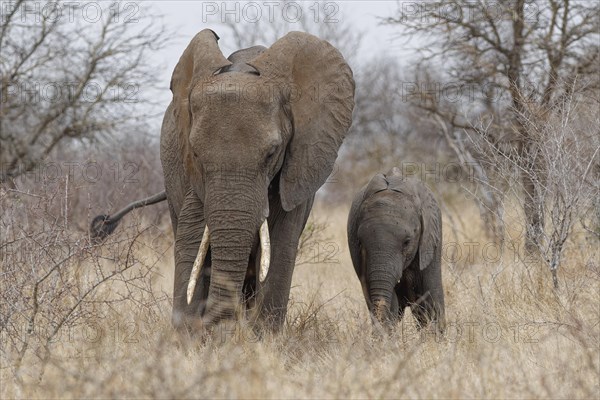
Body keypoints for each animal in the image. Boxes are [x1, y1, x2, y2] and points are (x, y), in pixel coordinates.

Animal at [91, 30, 354, 332]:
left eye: (272, 152)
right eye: (195, 153)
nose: (222, 326)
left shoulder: (298, 166)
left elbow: (280, 247)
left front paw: (262, 337)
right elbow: (192, 239)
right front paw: (190, 335)